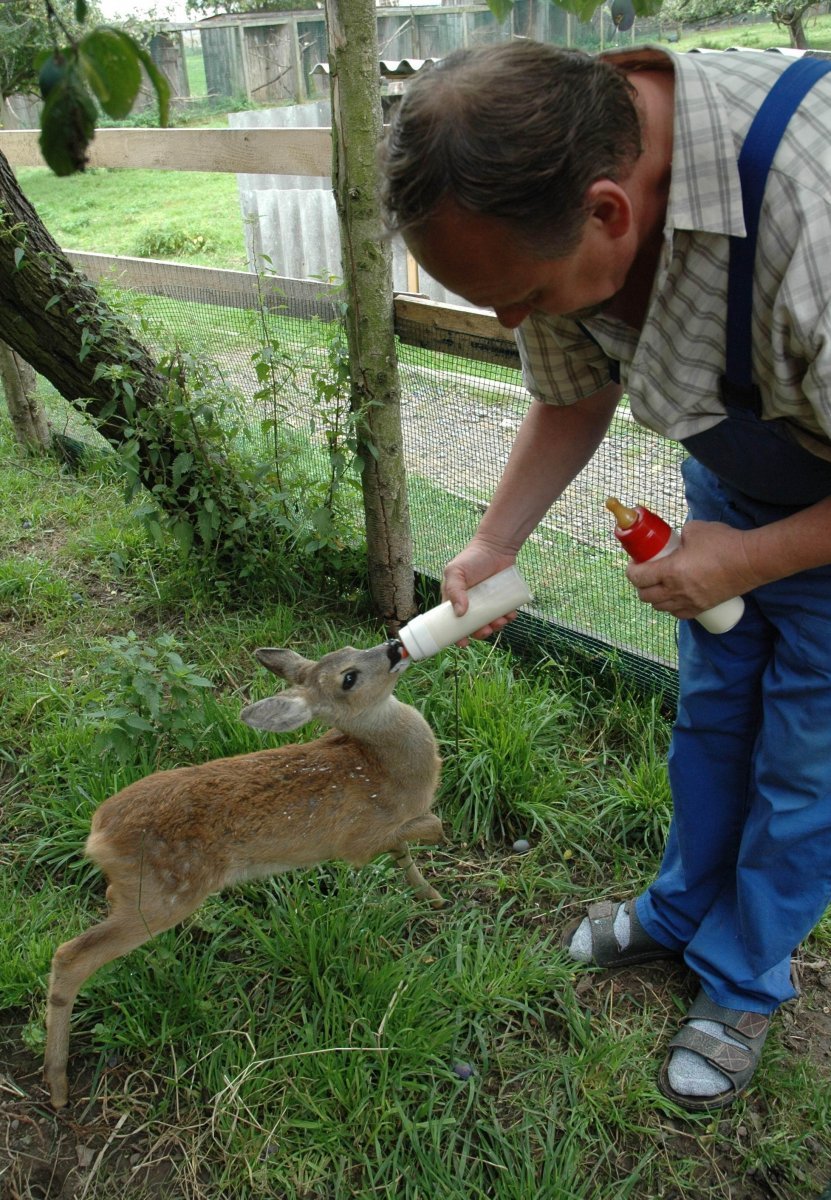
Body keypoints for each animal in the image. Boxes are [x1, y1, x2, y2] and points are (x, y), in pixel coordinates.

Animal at [42, 643, 444, 1108]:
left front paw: (430, 895)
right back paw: (57, 1086)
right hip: (163, 896)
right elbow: (430, 826)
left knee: (105, 903)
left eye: (347, 650)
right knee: (71, 955)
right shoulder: (357, 843)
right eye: (349, 677)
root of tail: (98, 834)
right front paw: (432, 880)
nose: (394, 647)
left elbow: (406, 852)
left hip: (140, 892)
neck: (385, 767)